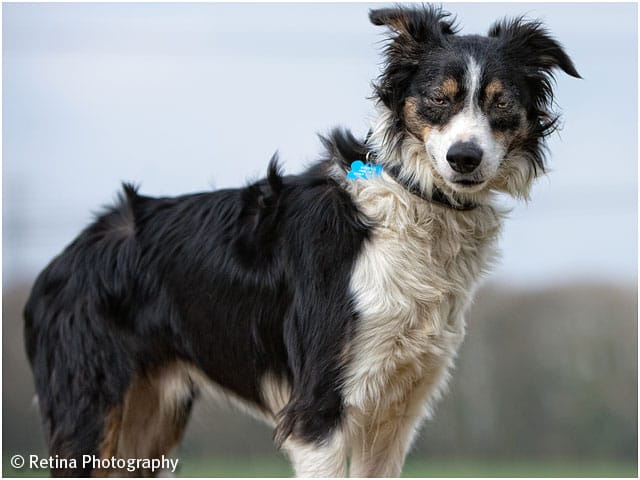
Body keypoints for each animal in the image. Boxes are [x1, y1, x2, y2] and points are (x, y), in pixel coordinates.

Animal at [23, 5, 580, 478]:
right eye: (438, 98)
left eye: (501, 102)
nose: (465, 158)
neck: (413, 198)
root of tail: (63, 257)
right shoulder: (318, 407)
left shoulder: (396, 410)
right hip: (90, 406)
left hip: (148, 419)